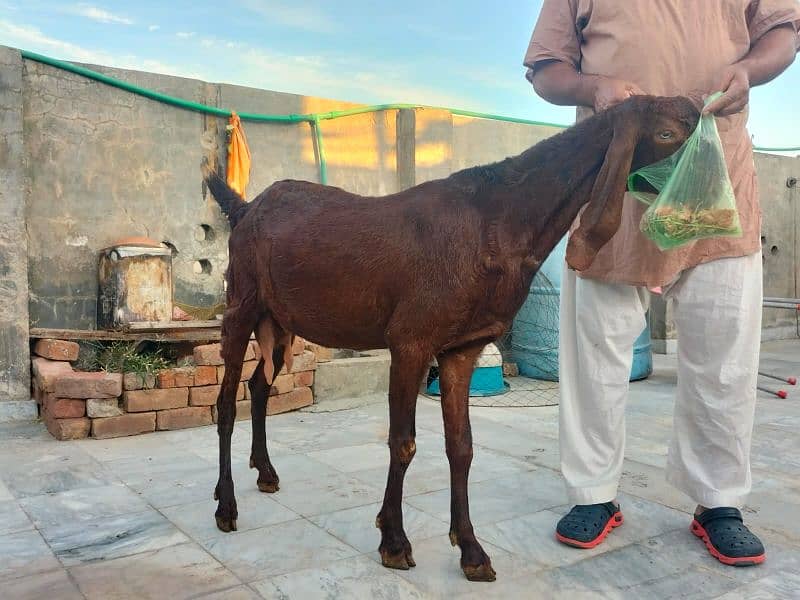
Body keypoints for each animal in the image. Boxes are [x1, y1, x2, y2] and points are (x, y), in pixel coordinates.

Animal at [203, 95, 696, 580]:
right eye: (667, 132)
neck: (497, 221)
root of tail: (245, 209)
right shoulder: (411, 341)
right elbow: (402, 442)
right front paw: (394, 540)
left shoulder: (462, 348)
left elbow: (462, 447)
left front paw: (471, 549)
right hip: (241, 303)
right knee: (225, 403)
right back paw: (226, 505)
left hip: (281, 320)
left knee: (259, 385)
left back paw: (266, 471)